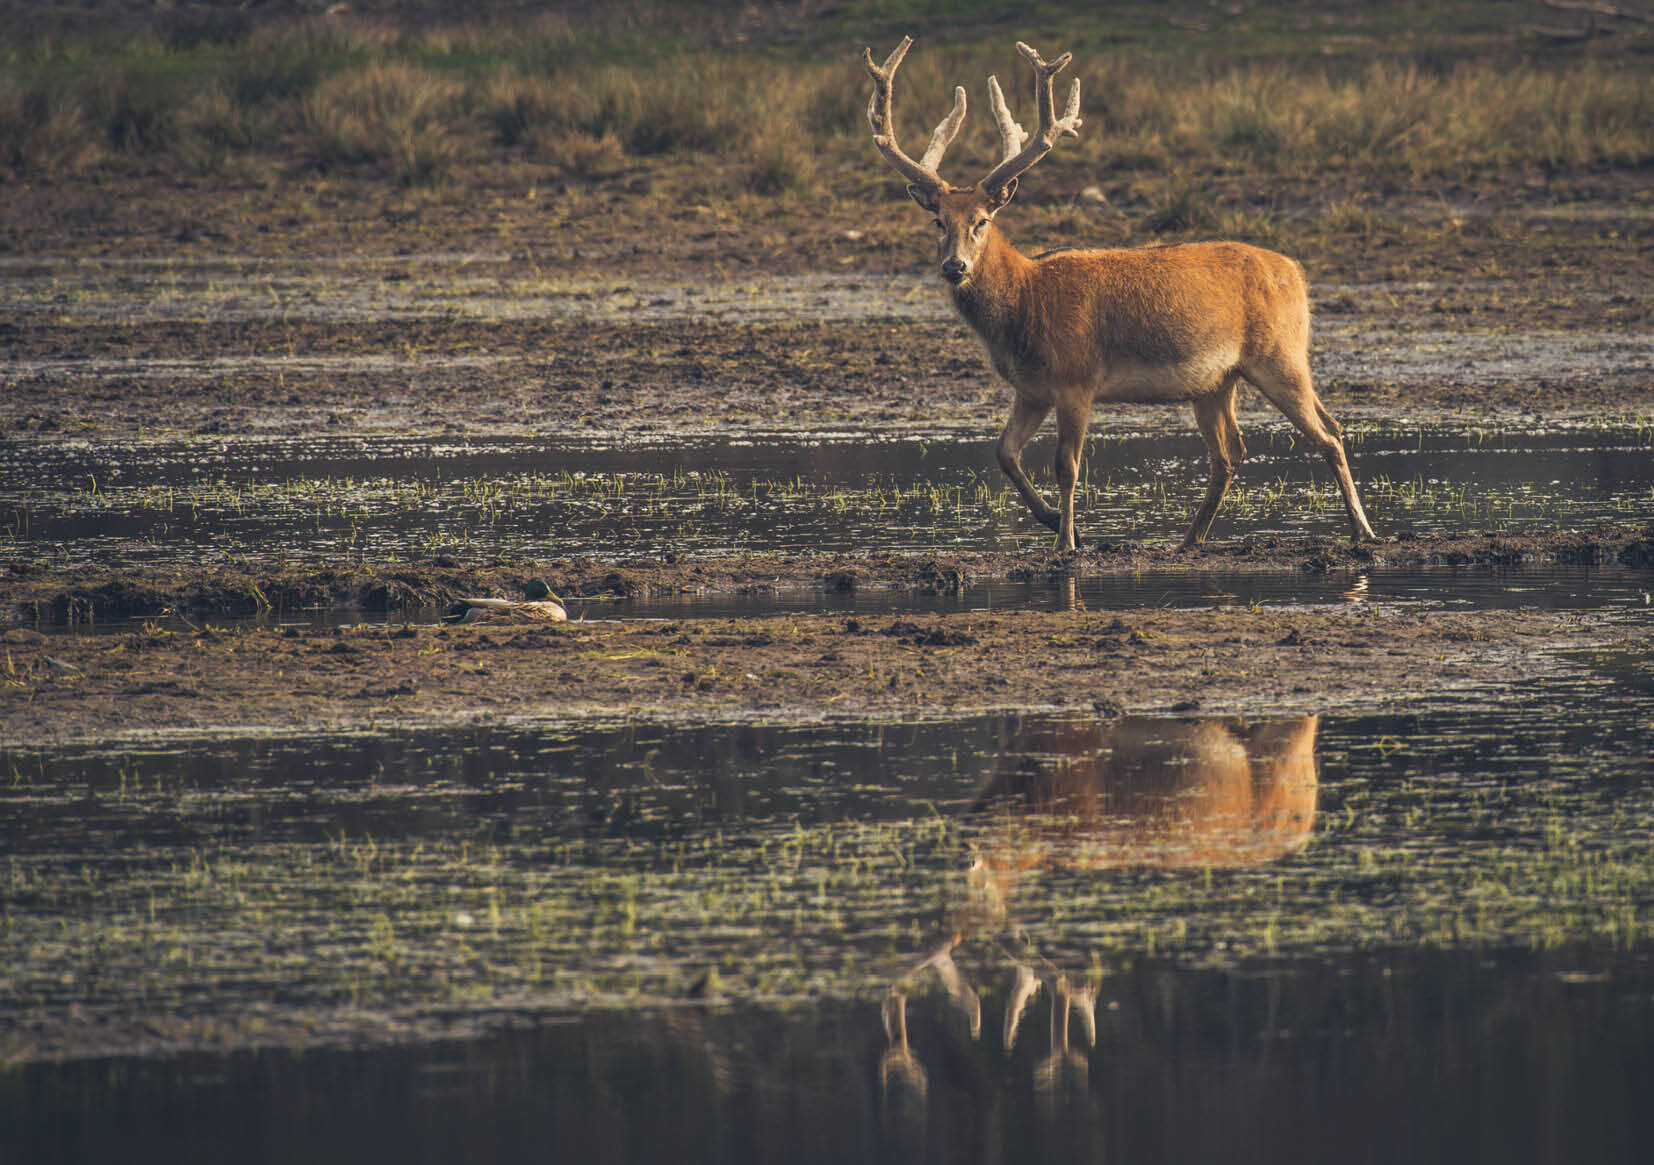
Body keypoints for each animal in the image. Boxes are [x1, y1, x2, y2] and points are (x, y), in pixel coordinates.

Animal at [866, 36, 1382, 556]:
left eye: (981, 221)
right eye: (938, 221)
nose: (955, 267)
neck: (1026, 309)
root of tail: (1295, 271)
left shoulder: (1076, 377)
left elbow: (1066, 466)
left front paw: (1067, 542)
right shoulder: (1031, 389)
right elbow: (1004, 453)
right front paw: (1055, 522)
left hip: (1279, 354)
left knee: (1328, 432)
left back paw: (1364, 531)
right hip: (1217, 380)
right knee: (1231, 451)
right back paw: (1189, 539)